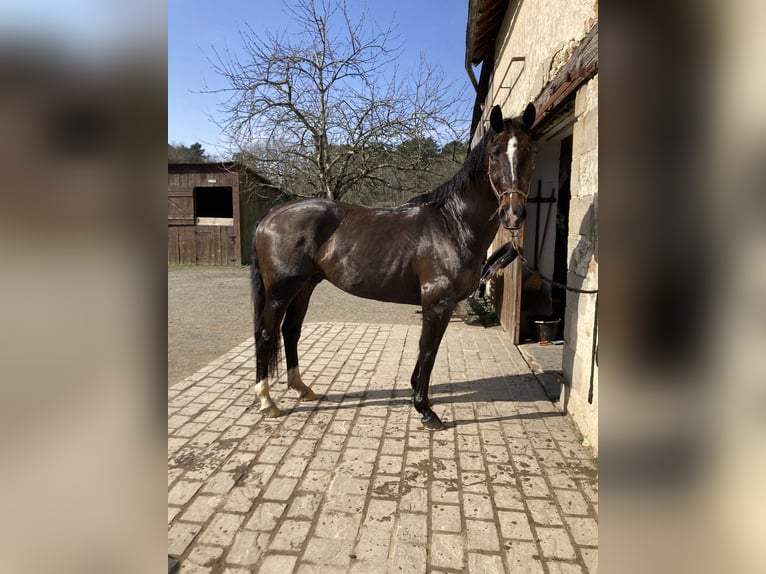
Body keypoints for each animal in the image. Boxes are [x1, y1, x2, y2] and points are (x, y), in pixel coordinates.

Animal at [250, 103, 536, 430]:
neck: (453, 224)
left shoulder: (439, 304)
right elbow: (428, 350)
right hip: (280, 291)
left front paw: (418, 396)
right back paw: (267, 401)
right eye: (494, 153)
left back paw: (302, 389)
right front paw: (425, 410)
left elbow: (426, 351)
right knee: (266, 333)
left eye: (529, 151)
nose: (513, 213)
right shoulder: (438, 302)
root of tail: (272, 214)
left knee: (291, 331)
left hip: (305, 286)